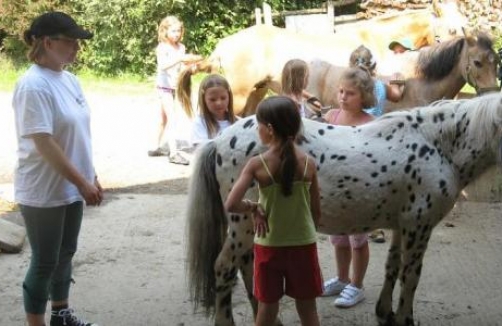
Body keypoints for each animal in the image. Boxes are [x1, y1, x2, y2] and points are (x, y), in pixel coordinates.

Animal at [186, 92, 502, 326]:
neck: (438, 146)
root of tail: (218, 141)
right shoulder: (419, 227)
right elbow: (411, 275)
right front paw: (404, 318)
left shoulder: (403, 226)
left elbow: (392, 266)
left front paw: (385, 313)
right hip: (243, 223)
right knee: (225, 268)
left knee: (247, 268)